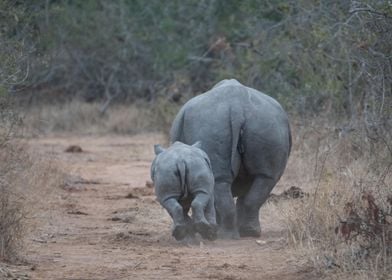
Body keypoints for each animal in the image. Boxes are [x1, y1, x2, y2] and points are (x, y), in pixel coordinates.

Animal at [171, 79, 290, 238]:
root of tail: (237, 107)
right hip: (267, 125)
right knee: (266, 178)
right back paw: (250, 233)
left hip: (212, 124)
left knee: (220, 181)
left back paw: (225, 235)